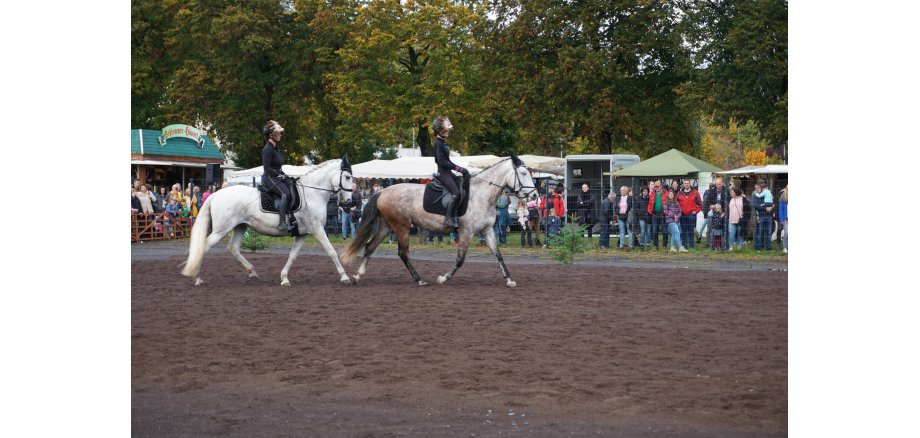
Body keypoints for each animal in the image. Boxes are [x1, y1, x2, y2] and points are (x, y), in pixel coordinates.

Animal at [181, 157, 354, 288]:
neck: (312, 193)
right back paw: (196, 277)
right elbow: (331, 251)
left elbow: (293, 256)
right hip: (221, 230)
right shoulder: (317, 229)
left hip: (240, 227)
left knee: (233, 247)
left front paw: (284, 278)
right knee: (204, 247)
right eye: (347, 177)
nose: (349, 202)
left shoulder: (302, 234)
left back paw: (252, 271)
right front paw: (345, 277)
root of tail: (215, 194)